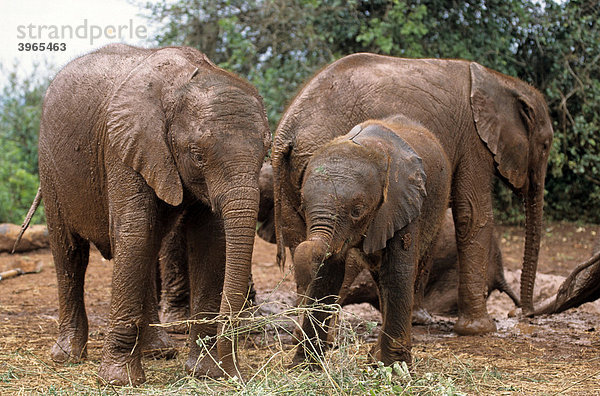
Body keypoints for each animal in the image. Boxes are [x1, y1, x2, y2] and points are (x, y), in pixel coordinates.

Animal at [37, 42, 270, 384]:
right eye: (197, 155)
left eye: (266, 151)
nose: (236, 374)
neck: (182, 82)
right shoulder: (123, 145)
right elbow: (135, 231)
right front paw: (119, 380)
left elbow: (211, 241)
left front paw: (205, 373)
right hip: (50, 167)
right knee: (71, 252)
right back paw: (67, 357)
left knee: (146, 247)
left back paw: (158, 352)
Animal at [272, 53, 552, 338]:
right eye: (545, 145)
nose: (522, 314)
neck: (503, 81)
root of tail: (286, 131)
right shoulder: (473, 141)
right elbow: (472, 214)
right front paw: (479, 330)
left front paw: (419, 320)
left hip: (292, 181)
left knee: (300, 238)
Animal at [292, 116, 452, 366]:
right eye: (302, 205)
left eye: (357, 211)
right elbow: (328, 276)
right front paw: (303, 367)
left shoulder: (403, 201)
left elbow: (397, 273)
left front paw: (394, 367)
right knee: (379, 280)